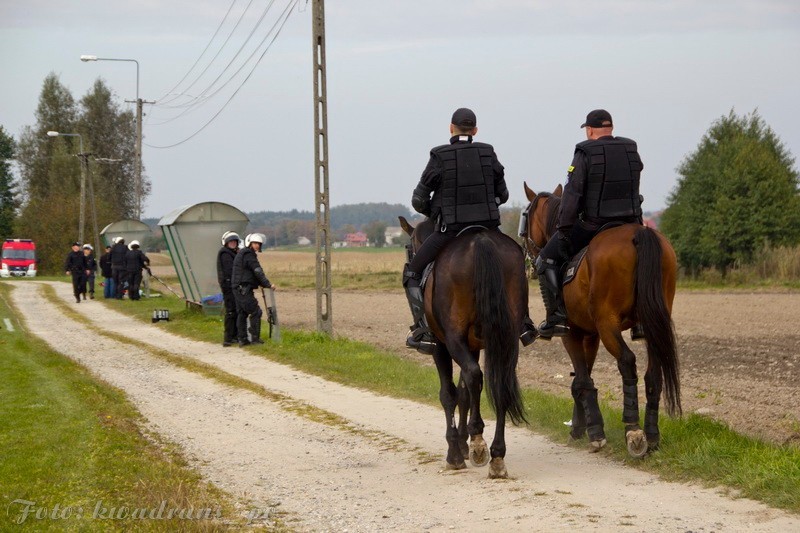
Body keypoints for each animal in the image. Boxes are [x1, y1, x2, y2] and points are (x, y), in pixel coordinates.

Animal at [400, 216, 532, 478]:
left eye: (410, 244)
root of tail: (481, 242)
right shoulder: (472, 346)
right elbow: (464, 393)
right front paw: (463, 443)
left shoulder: (442, 347)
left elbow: (449, 394)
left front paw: (455, 452)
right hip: (505, 340)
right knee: (498, 384)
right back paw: (497, 455)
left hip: (452, 340)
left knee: (473, 375)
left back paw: (479, 441)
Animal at [524, 182, 680, 454]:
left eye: (525, 218)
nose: (528, 260)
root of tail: (639, 233)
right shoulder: (591, 336)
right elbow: (581, 379)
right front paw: (579, 428)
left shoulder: (573, 334)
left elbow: (582, 380)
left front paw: (593, 430)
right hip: (651, 325)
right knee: (654, 372)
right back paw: (651, 435)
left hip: (609, 325)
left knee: (627, 362)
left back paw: (633, 430)